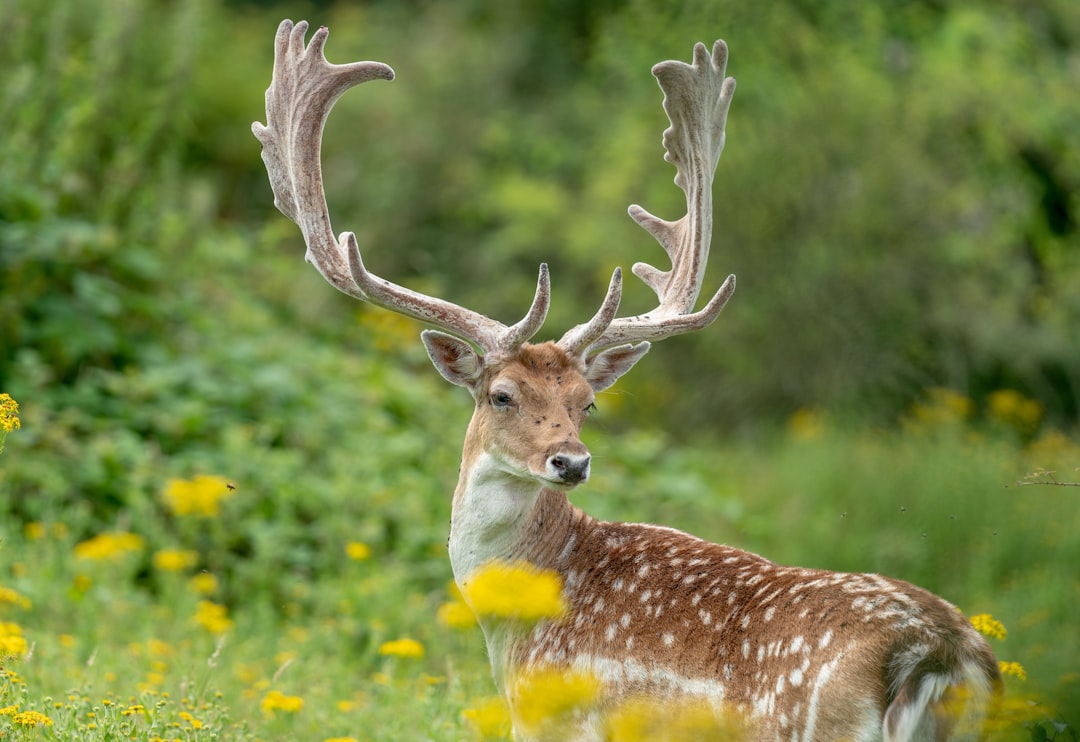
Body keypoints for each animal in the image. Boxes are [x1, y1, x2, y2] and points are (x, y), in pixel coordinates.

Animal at [254, 18, 1002, 742]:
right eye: (502, 395)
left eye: (587, 404)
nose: (571, 461)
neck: (515, 624)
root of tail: (938, 655)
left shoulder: (553, 719)